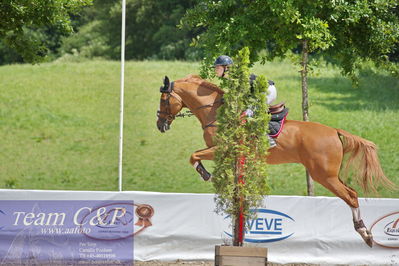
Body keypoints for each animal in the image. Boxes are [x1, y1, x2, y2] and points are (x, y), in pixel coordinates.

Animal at [157, 74, 396, 246]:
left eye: (164, 100)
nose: (160, 125)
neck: (217, 113)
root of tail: (334, 131)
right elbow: (197, 156)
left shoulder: (221, 148)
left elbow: (193, 156)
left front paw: (205, 173)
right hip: (330, 174)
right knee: (352, 192)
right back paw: (364, 232)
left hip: (323, 175)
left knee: (351, 196)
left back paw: (364, 233)